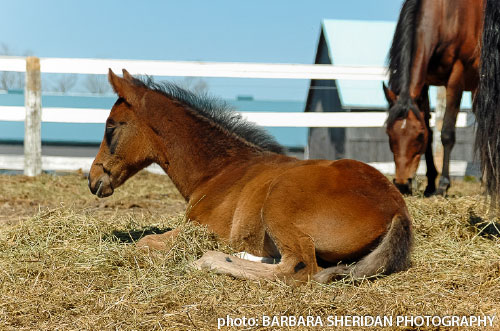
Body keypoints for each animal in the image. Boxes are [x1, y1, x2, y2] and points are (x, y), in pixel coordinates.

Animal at [88, 69, 412, 282]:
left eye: (111, 126)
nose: (93, 179)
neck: (219, 171)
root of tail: (397, 208)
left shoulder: (202, 229)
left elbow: (145, 242)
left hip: (279, 204)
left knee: (299, 268)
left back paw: (211, 260)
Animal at [382, 0, 484, 196]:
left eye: (418, 136)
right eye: (389, 133)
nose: (402, 184)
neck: (445, 17)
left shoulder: (456, 77)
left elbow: (446, 133)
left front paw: (443, 185)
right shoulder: (425, 83)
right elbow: (430, 133)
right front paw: (430, 185)